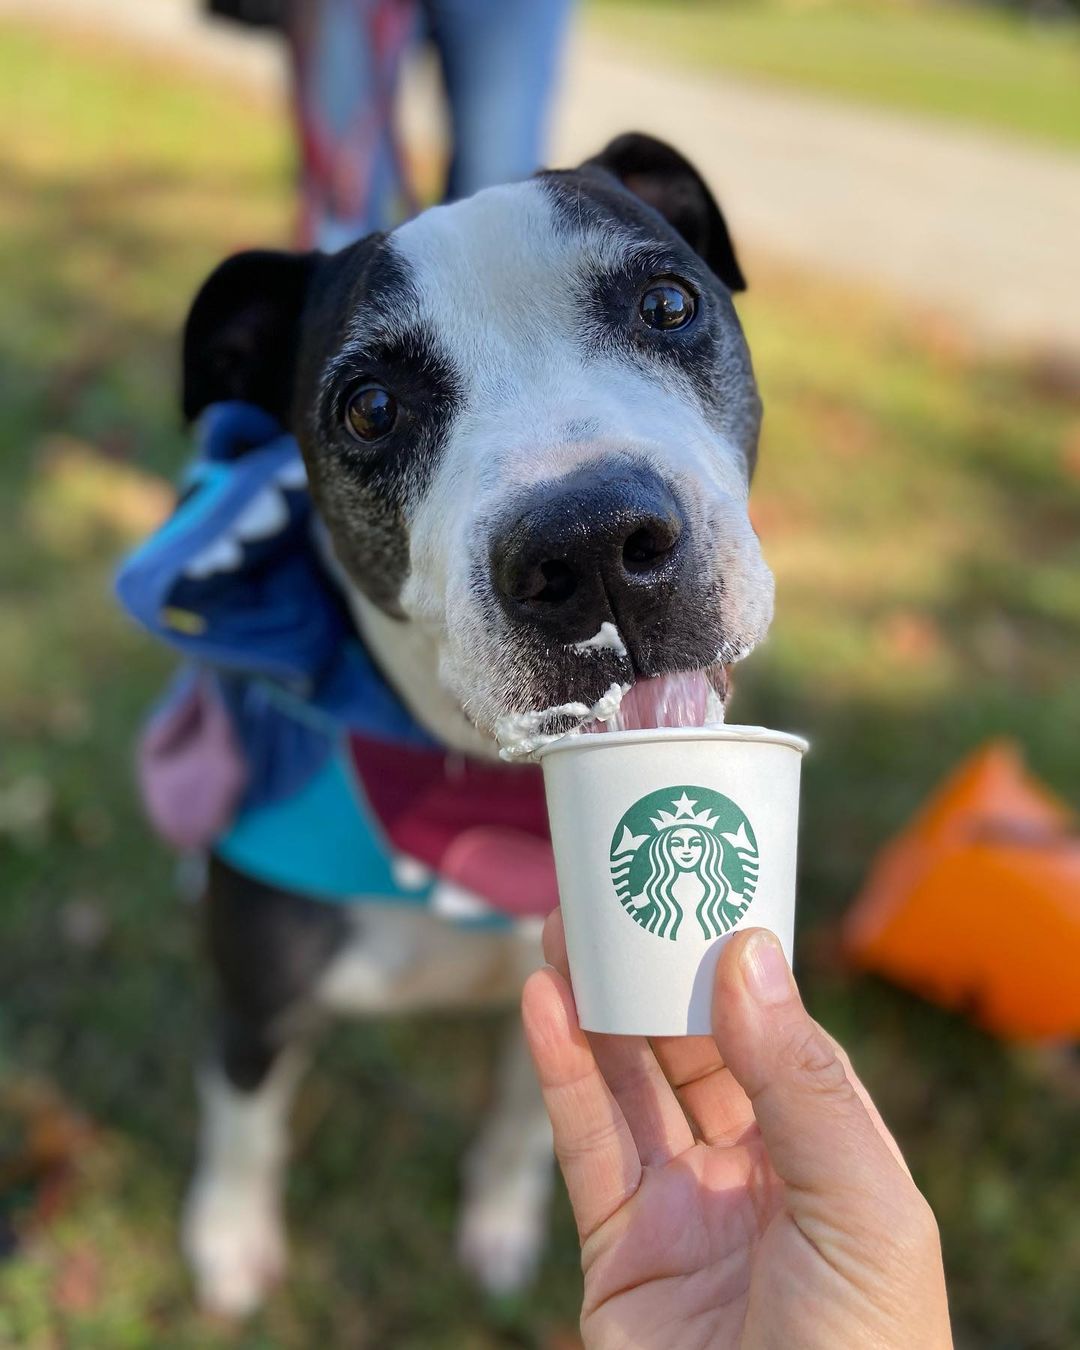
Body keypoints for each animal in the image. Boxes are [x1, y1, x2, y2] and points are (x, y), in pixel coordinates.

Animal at [176, 131, 772, 1312]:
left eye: (669, 303)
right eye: (368, 407)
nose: (591, 541)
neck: (476, 790)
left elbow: (523, 1123)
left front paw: (499, 1224)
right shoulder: (257, 1006)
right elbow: (245, 1125)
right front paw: (227, 1241)